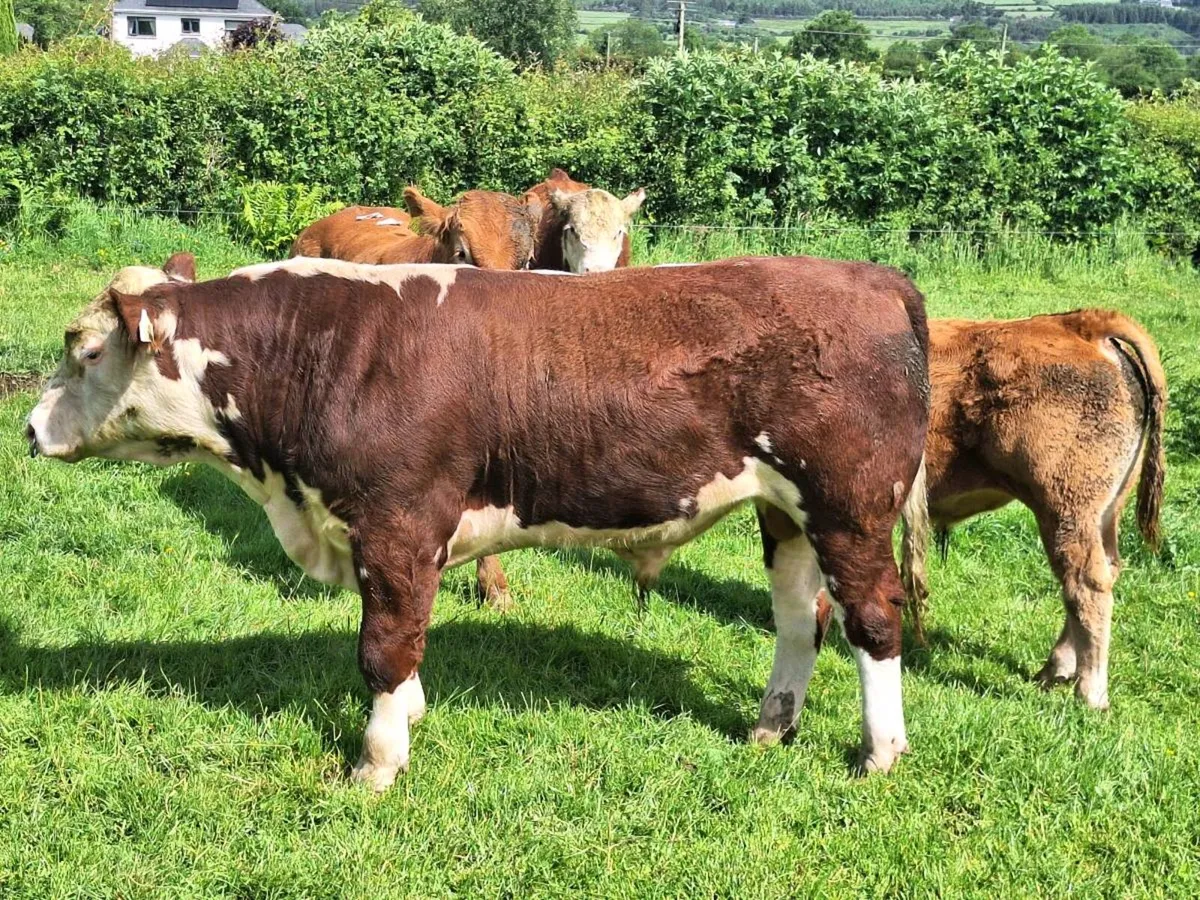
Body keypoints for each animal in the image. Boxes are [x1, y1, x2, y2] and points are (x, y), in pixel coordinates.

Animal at [26, 253, 930, 791]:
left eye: (89, 351)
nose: (30, 428)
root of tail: (873, 277)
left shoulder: (396, 522)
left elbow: (383, 646)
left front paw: (377, 765)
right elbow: (406, 639)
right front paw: (412, 713)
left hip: (848, 505)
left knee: (872, 622)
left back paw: (879, 754)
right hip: (787, 512)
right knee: (800, 620)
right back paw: (770, 729)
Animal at [900, 310, 1166, 710]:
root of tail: (1081, 324)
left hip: (1065, 510)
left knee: (1085, 584)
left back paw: (1089, 693)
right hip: (1101, 514)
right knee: (1100, 573)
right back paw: (1056, 670)